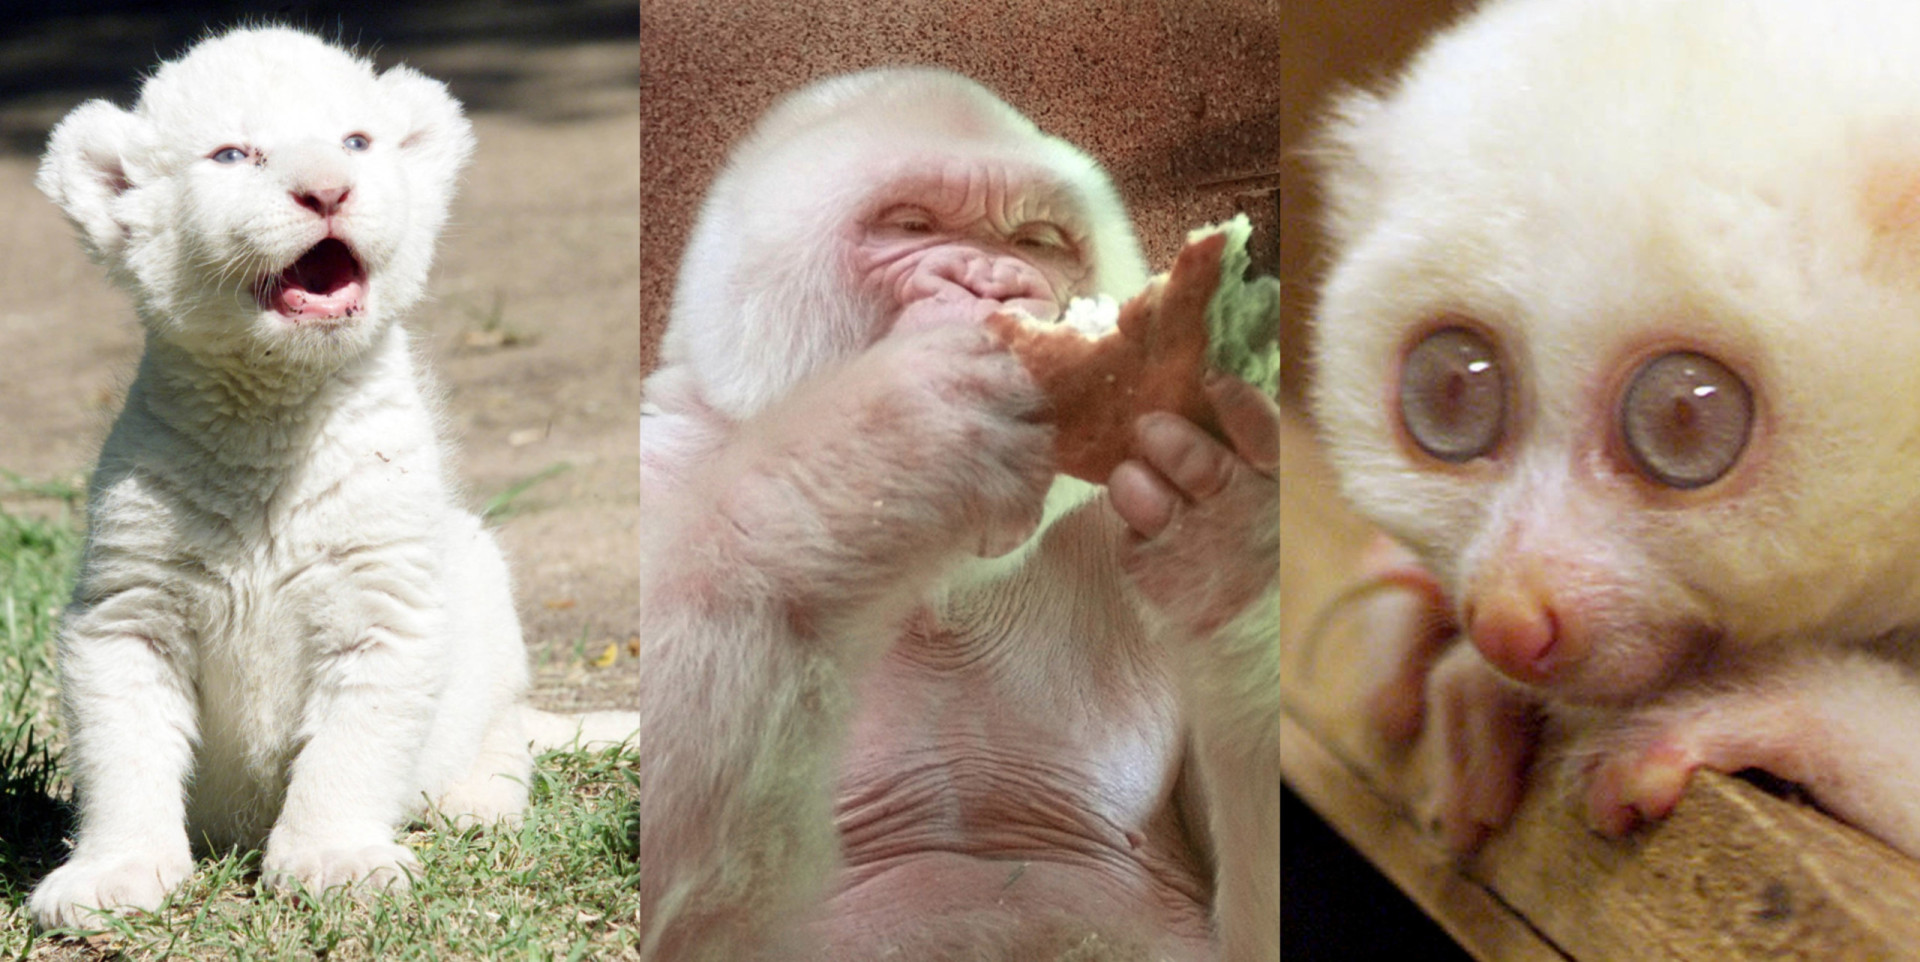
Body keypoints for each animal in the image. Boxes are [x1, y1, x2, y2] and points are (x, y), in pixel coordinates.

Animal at [637, 69, 1282, 960]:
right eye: (910, 225)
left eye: (1038, 240)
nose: (995, 284)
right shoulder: (664, 458)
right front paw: (885, 446)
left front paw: (1229, 545)